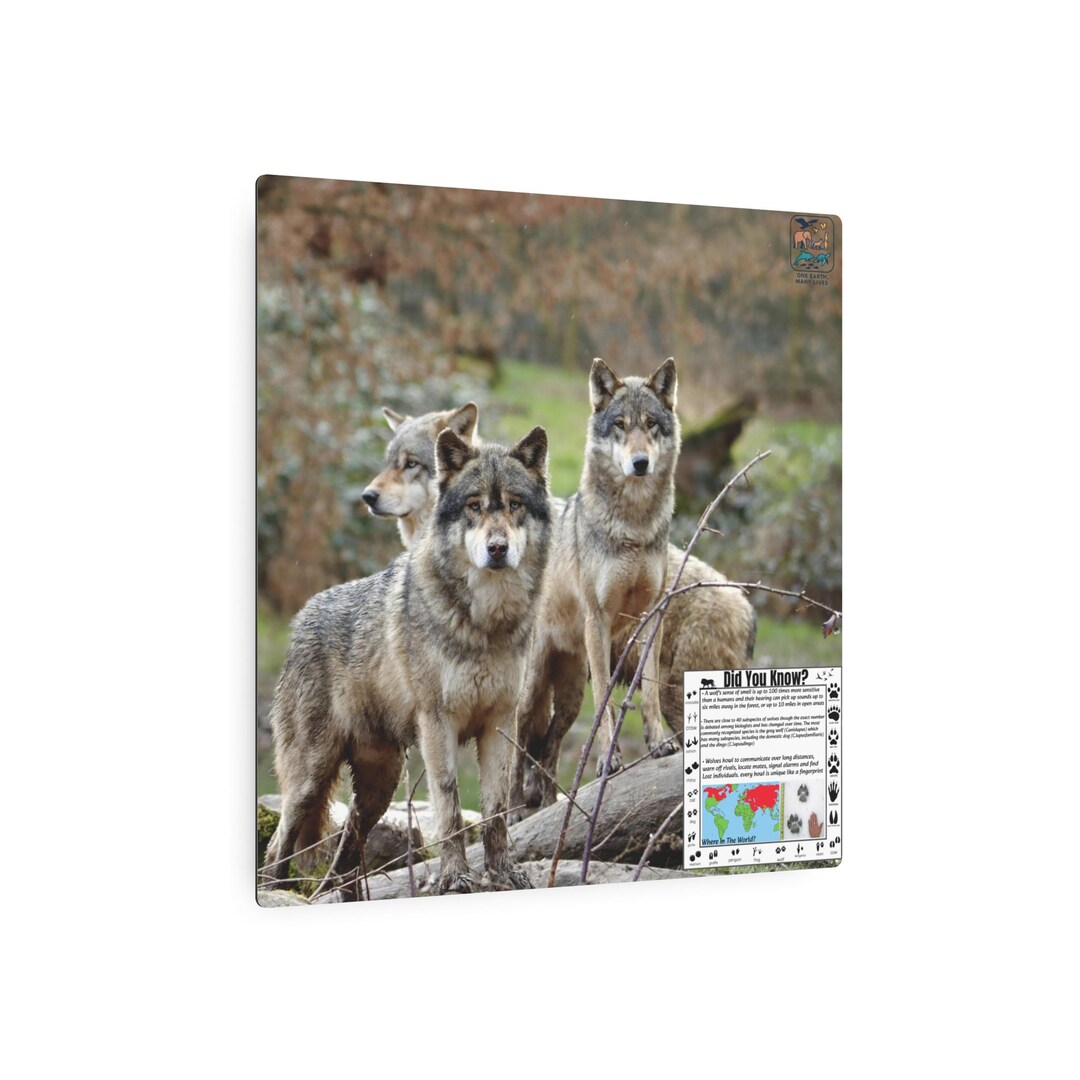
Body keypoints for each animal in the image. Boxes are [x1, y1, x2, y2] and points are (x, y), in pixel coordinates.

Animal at [262, 426, 552, 898]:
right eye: (474, 506)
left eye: (514, 505)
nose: (497, 549)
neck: (485, 622)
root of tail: (301, 617)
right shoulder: (438, 724)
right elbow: (451, 807)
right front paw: (455, 878)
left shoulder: (499, 723)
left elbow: (495, 813)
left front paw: (503, 874)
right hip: (310, 779)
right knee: (278, 847)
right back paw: (274, 892)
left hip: (379, 785)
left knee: (344, 856)